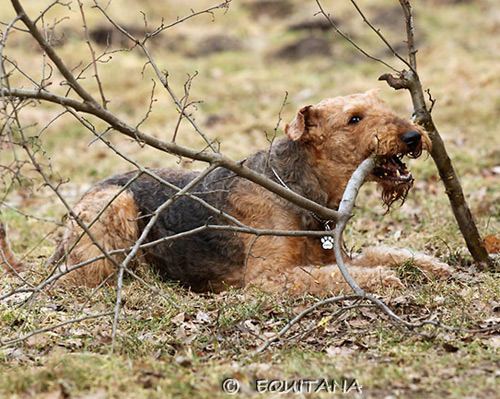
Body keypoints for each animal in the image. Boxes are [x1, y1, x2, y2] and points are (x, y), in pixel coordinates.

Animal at [0, 91, 454, 296]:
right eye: (354, 118)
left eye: (381, 103)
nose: (414, 136)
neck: (298, 188)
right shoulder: (269, 278)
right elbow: (339, 277)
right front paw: (384, 279)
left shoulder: (330, 256)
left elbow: (386, 253)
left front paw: (432, 267)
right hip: (116, 206)